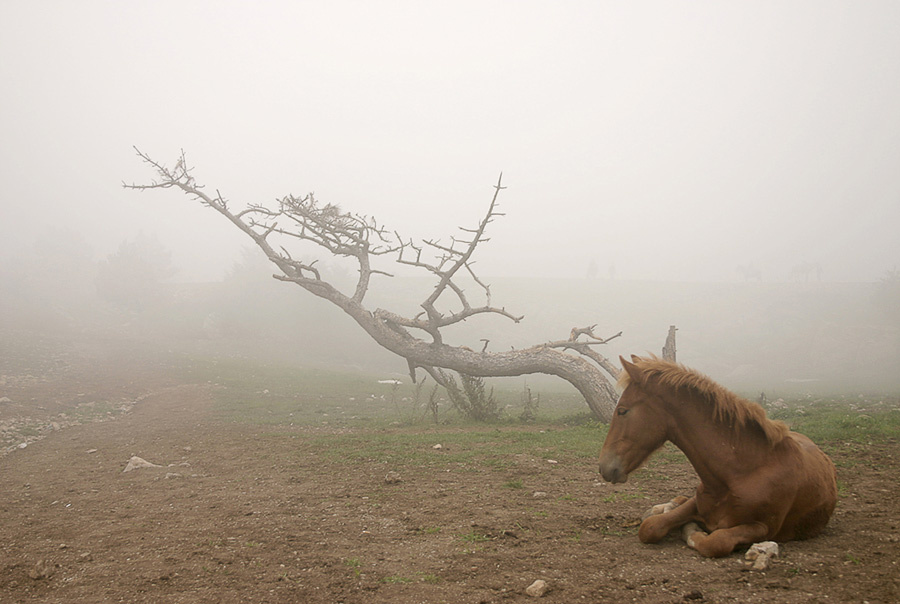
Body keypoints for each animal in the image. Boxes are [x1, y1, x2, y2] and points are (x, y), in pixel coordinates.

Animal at [598, 355, 837, 558]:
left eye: (622, 410)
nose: (604, 467)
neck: (741, 473)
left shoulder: (763, 527)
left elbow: (715, 541)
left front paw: (693, 531)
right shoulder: (696, 503)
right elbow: (651, 527)